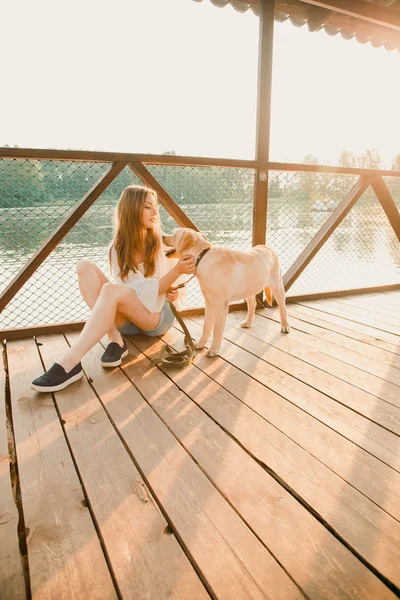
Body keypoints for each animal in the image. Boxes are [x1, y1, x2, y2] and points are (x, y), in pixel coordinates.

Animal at [162, 227, 290, 354]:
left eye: (174, 235)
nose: (162, 236)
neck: (201, 257)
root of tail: (266, 247)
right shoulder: (209, 303)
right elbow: (206, 325)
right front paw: (200, 344)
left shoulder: (220, 304)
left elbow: (217, 328)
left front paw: (214, 349)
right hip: (247, 288)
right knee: (252, 303)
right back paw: (248, 322)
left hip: (277, 285)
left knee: (282, 307)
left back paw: (285, 326)